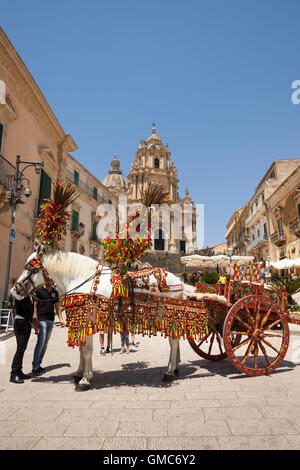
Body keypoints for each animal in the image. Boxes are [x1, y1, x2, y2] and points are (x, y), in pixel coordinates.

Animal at [15, 252, 192, 392]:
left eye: (31, 268)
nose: (16, 288)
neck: (82, 279)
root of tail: (179, 281)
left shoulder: (87, 320)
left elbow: (86, 351)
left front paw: (85, 380)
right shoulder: (81, 322)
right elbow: (81, 350)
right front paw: (78, 374)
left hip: (168, 315)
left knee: (173, 341)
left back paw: (170, 372)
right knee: (174, 341)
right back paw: (174, 368)